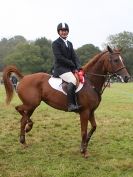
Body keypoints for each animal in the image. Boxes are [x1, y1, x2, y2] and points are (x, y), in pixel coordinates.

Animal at [2, 46, 130, 158]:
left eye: (122, 60)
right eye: (115, 60)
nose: (127, 78)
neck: (90, 83)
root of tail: (23, 78)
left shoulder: (91, 111)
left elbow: (93, 127)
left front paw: (83, 146)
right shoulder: (85, 112)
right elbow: (83, 131)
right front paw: (84, 151)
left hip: (32, 106)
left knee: (23, 119)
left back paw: (24, 139)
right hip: (31, 104)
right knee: (18, 109)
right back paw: (28, 128)